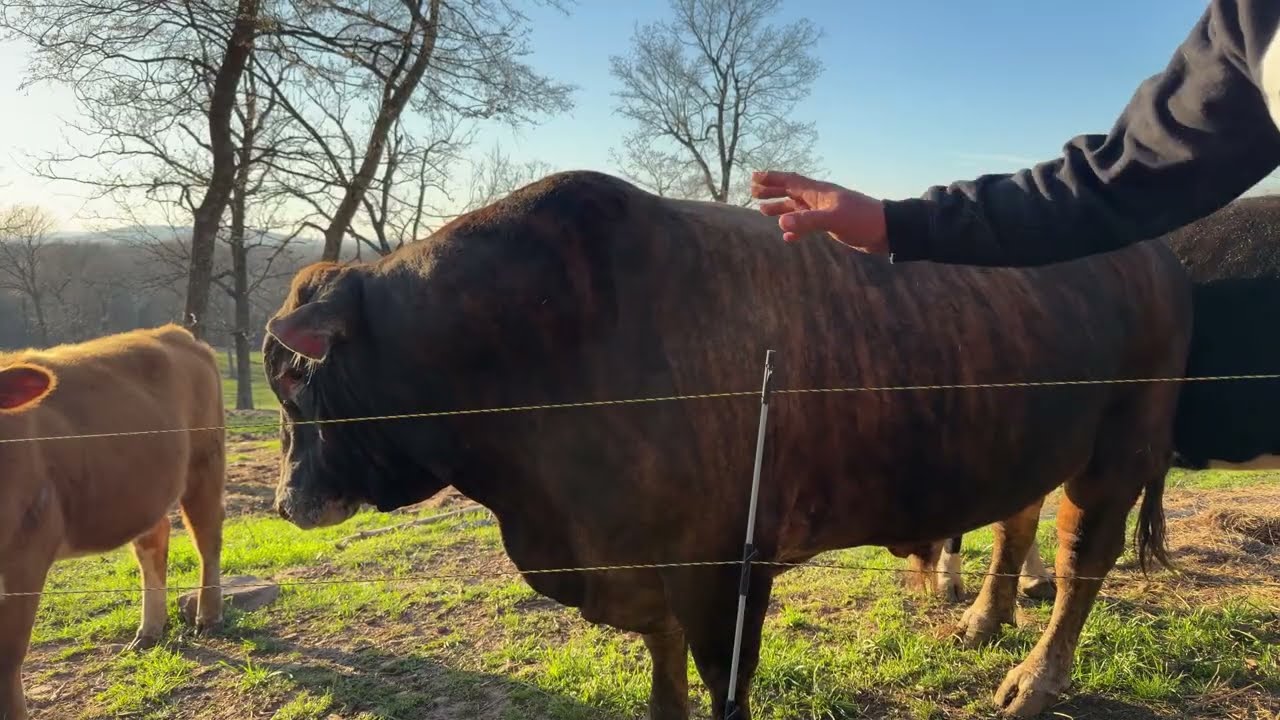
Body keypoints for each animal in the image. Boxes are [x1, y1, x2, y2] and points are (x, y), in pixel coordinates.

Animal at [0, 325, 226, 720]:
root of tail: (173, 332)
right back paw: (150, 629)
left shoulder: (26, 551)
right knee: (155, 542)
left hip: (205, 463)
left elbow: (7, 657)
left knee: (207, 538)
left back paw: (208, 616)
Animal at [261, 170, 1192, 719]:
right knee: (1016, 523)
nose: (282, 501)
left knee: (1080, 564)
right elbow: (665, 673)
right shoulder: (643, 565)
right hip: (1037, 443)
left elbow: (720, 682)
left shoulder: (721, 566)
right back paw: (982, 620)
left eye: (295, 381)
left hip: (1120, 449)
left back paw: (1035, 680)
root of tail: (1156, 257)